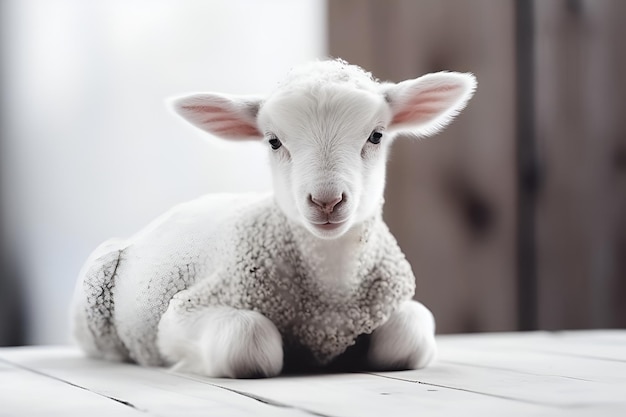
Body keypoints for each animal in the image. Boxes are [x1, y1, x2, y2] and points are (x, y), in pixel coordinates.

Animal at [70, 57, 476, 376]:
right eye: (274, 141)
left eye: (376, 136)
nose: (326, 201)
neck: (330, 293)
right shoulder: (181, 314)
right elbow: (249, 342)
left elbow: (409, 335)